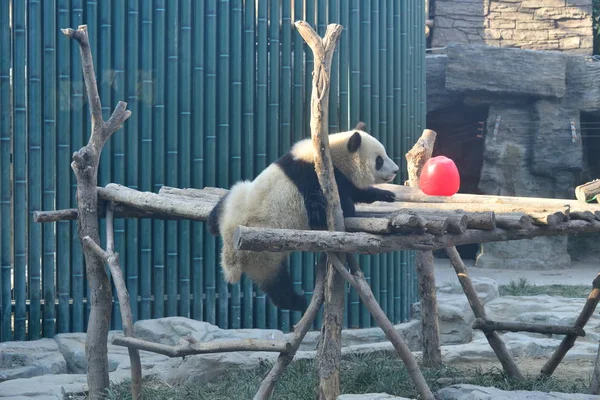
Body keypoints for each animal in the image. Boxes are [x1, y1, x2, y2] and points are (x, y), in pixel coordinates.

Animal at [206, 122, 398, 312]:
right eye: (379, 160)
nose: (396, 170)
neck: (330, 157)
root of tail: (231, 255)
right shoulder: (317, 179)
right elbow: (325, 210)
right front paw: (350, 208)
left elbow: (356, 191)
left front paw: (386, 194)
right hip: (263, 254)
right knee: (278, 285)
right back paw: (299, 302)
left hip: (236, 199)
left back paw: (213, 224)